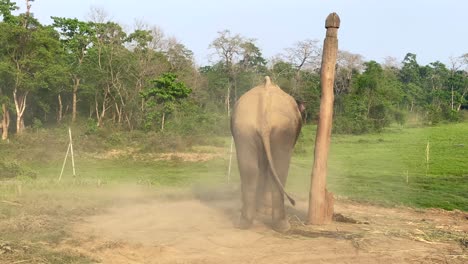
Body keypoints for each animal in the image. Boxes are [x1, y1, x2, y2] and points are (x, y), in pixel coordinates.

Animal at [230, 76, 304, 231]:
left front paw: (261, 210)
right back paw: (283, 226)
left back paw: (244, 223)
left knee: (249, 170)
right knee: (280, 169)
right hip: (284, 131)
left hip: (244, 127)